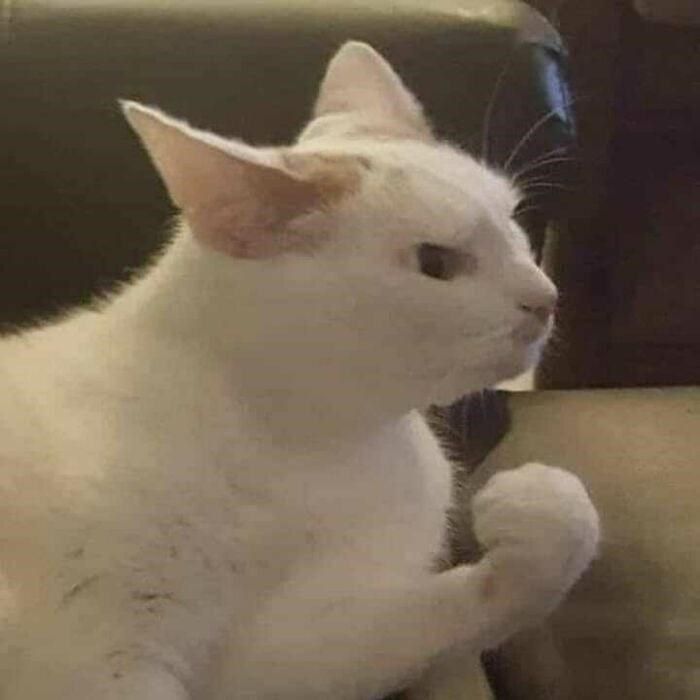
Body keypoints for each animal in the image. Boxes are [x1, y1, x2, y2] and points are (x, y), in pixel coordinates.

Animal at [0, 41, 600, 696]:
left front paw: (537, 512)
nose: (546, 298)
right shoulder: (107, 658)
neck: (317, 445)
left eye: (514, 220)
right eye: (436, 263)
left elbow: (535, 551)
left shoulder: (281, 654)